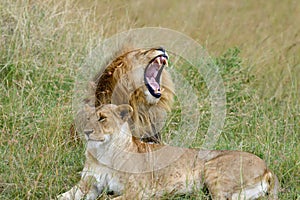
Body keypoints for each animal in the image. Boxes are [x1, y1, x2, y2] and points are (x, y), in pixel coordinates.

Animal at [58, 104, 278, 199]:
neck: (103, 152)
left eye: (102, 118)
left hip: (213, 169)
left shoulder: (137, 191)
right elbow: (62, 197)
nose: (86, 131)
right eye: (87, 118)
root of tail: (267, 168)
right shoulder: (87, 185)